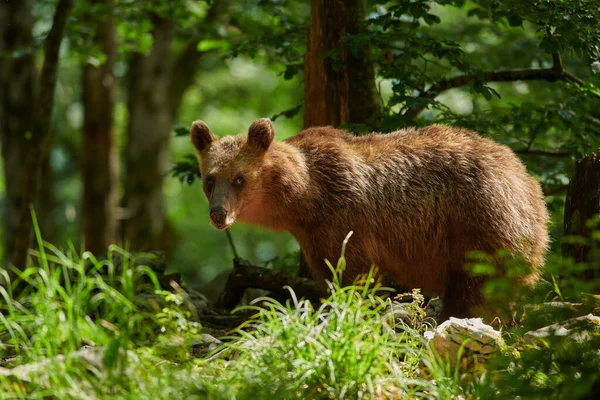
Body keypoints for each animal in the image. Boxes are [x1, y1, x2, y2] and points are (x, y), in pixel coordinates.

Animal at [189, 119, 548, 318]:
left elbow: (356, 275)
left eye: (239, 178)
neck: (304, 197)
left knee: (476, 287)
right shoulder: (315, 235)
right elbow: (331, 274)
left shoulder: (345, 217)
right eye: (210, 178)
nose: (219, 213)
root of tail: (527, 177)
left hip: (481, 222)